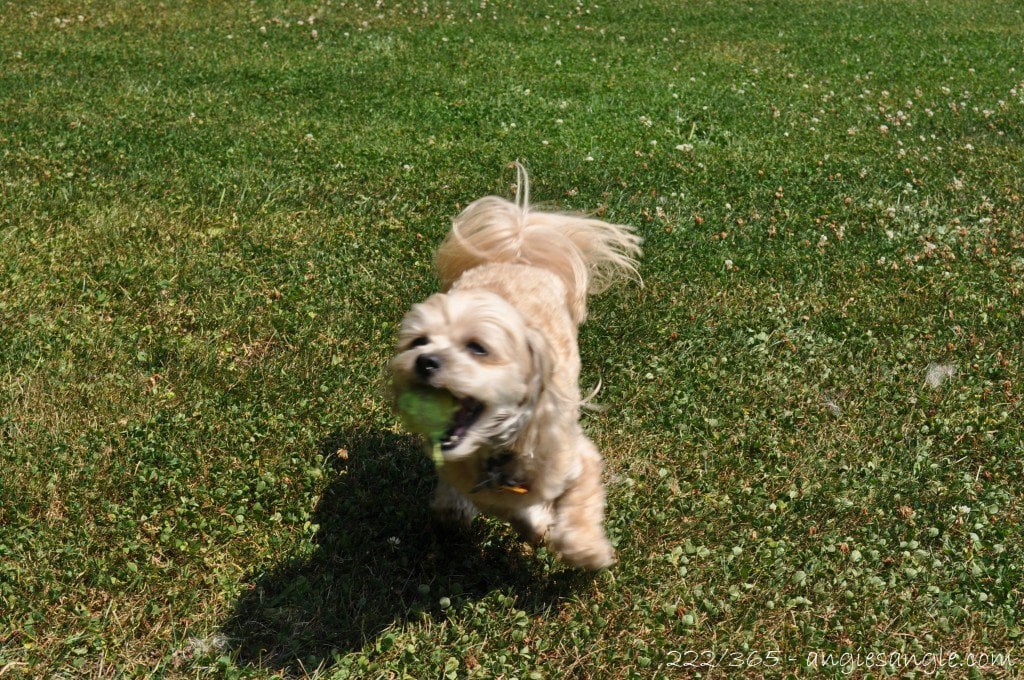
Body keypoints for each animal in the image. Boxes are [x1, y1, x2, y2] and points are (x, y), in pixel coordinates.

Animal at [391, 164, 638, 569]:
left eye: (477, 348)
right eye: (418, 342)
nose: (424, 361)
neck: (499, 450)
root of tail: (517, 252)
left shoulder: (578, 460)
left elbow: (579, 505)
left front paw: (586, 549)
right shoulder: (486, 489)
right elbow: (514, 510)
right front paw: (536, 527)